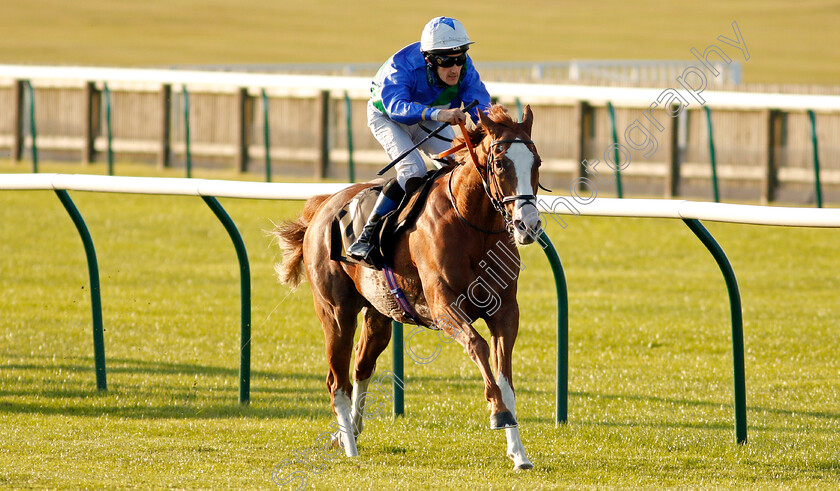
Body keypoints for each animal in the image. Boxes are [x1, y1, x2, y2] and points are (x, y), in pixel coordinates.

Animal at [272, 104, 540, 468]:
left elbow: (504, 374)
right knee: (336, 380)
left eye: (536, 162)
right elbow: (478, 346)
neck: (471, 223)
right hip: (336, 312)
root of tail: (324, 206)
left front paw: (518, 453)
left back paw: (348, 432)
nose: (528, 225)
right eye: (500, 164)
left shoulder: (505, 311)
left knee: (361, 366)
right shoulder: (444, 307)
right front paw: (498, 414)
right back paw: (350, 447)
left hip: (379, 312)